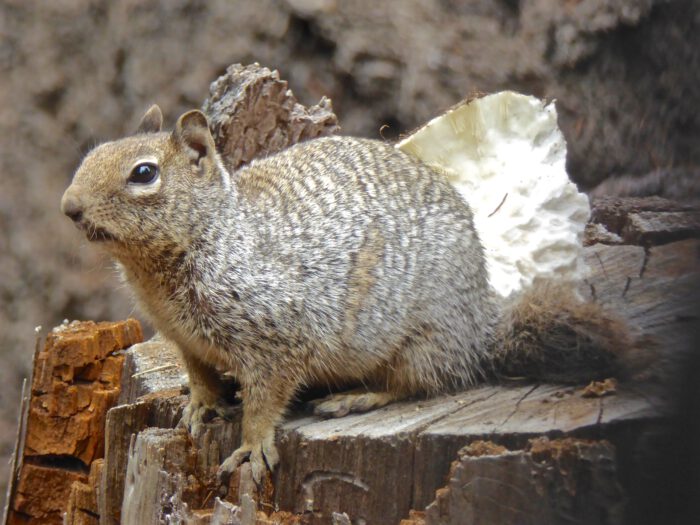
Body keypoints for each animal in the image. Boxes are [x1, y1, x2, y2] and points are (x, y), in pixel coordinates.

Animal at [61, 104, 631, 483]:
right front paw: (199, 407)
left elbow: (266, 400)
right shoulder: (184, 339)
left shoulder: (276, 337)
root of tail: (480, 325)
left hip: (422, 339)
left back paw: (356, 397)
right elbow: (200, 375)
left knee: (424, 383)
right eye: (90, 154)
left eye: (144, 173)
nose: (69, 207)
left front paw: (252, 445)